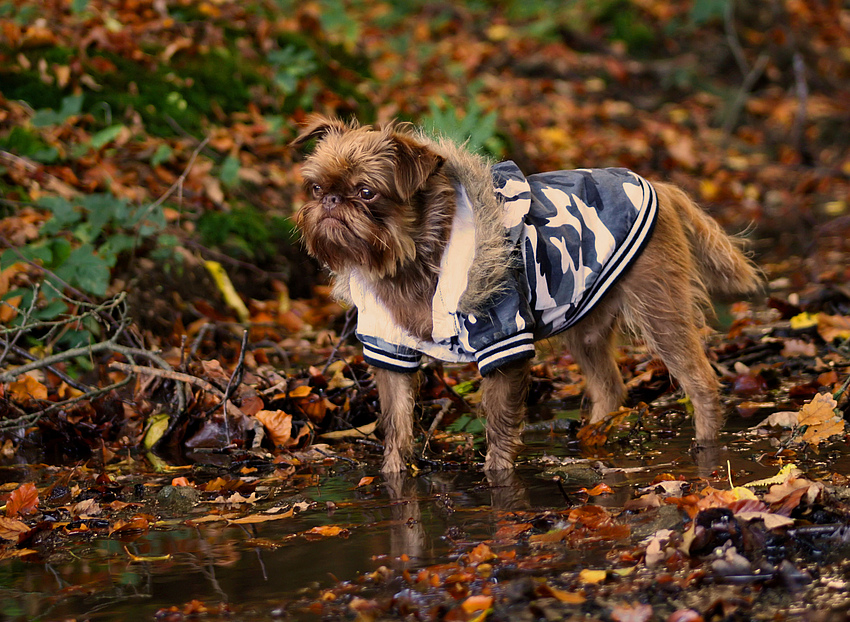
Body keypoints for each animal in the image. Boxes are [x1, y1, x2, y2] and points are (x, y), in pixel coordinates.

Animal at [294, 114, 760, 472]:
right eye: (315, 188)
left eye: (367, 192)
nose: (331, 200)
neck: (412, 262)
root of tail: (661, 186)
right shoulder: (388, 347)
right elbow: (396, 426)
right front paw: (394, 477)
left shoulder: (504, 341)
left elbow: (499, 427)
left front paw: (497, 479)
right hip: (585, 323)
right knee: (610, 386)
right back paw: (592, 437)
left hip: (660, 308)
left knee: (700, 381)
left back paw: (705, 448)